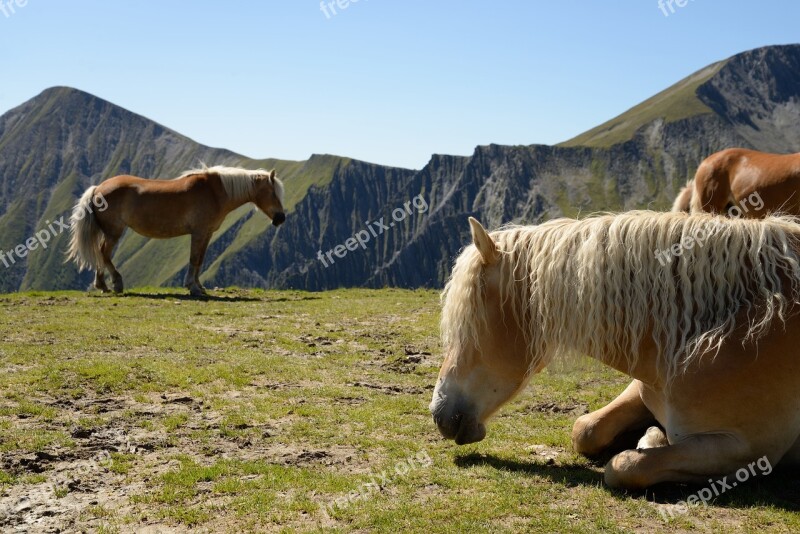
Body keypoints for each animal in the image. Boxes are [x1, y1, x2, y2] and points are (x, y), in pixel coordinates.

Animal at [66, 165, 284, 298]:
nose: (281, 218)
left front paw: (199, 286)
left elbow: (200, 260)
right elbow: (194, 259)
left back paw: (102, 285)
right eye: (273, 193)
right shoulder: (199, 232)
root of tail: (98, 188)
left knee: (101, 253)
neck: (214, 191)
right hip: (114, 232)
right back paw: (116, 284)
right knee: (104, 252)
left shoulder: (207, 234)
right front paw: (193, 287)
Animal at [432, 213, 800, 490]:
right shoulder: (643, 388)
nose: (439, 413)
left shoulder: (749, 450)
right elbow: (585, 429)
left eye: (470, 322)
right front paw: (652, 434)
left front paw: (651, 440)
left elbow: (624, 466)